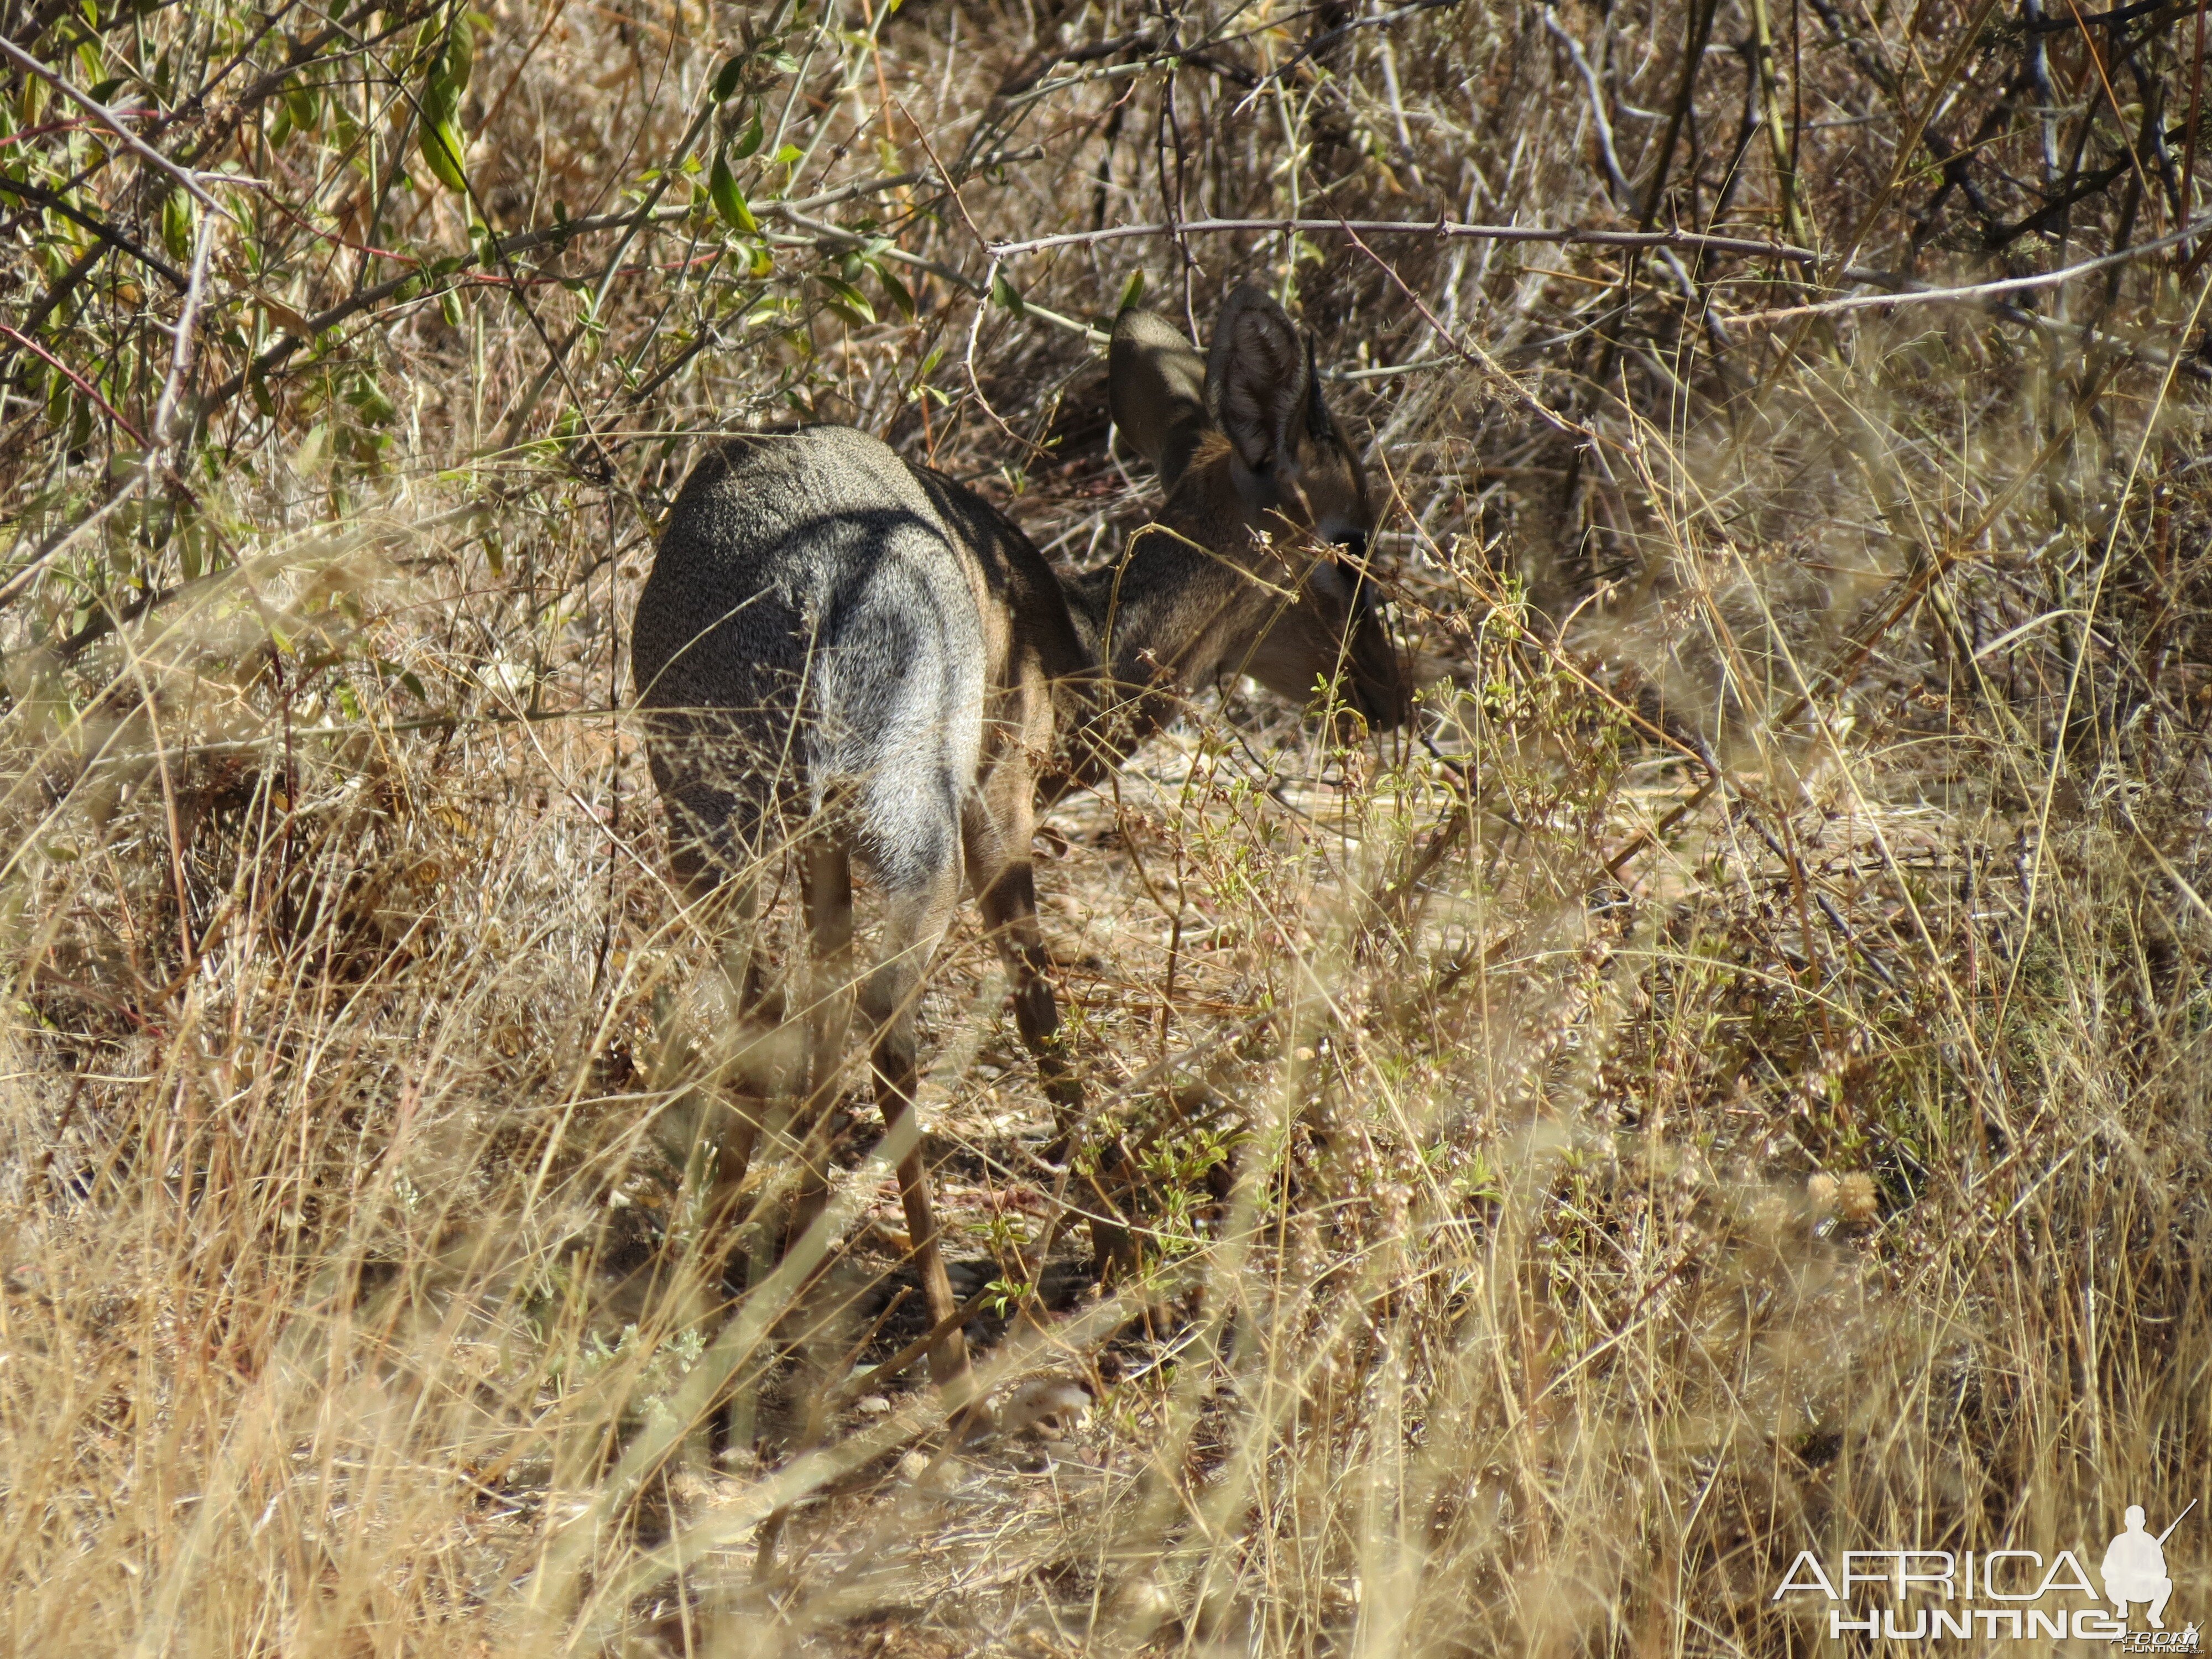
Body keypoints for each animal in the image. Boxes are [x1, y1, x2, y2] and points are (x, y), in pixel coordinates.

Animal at [633, 283, 1407, 1389]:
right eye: (1350, 540)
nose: (1393, 694)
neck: (1074, 655)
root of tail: (810, 598)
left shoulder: (825, 855)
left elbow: (812, 1012)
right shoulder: (1002, 803)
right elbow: (1041, 1010)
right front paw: (1122, 1253)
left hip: (713, 823)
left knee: (768, 1009)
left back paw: (717, 1298)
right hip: (910, 827)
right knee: (888, 1024)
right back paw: (951, 1358)